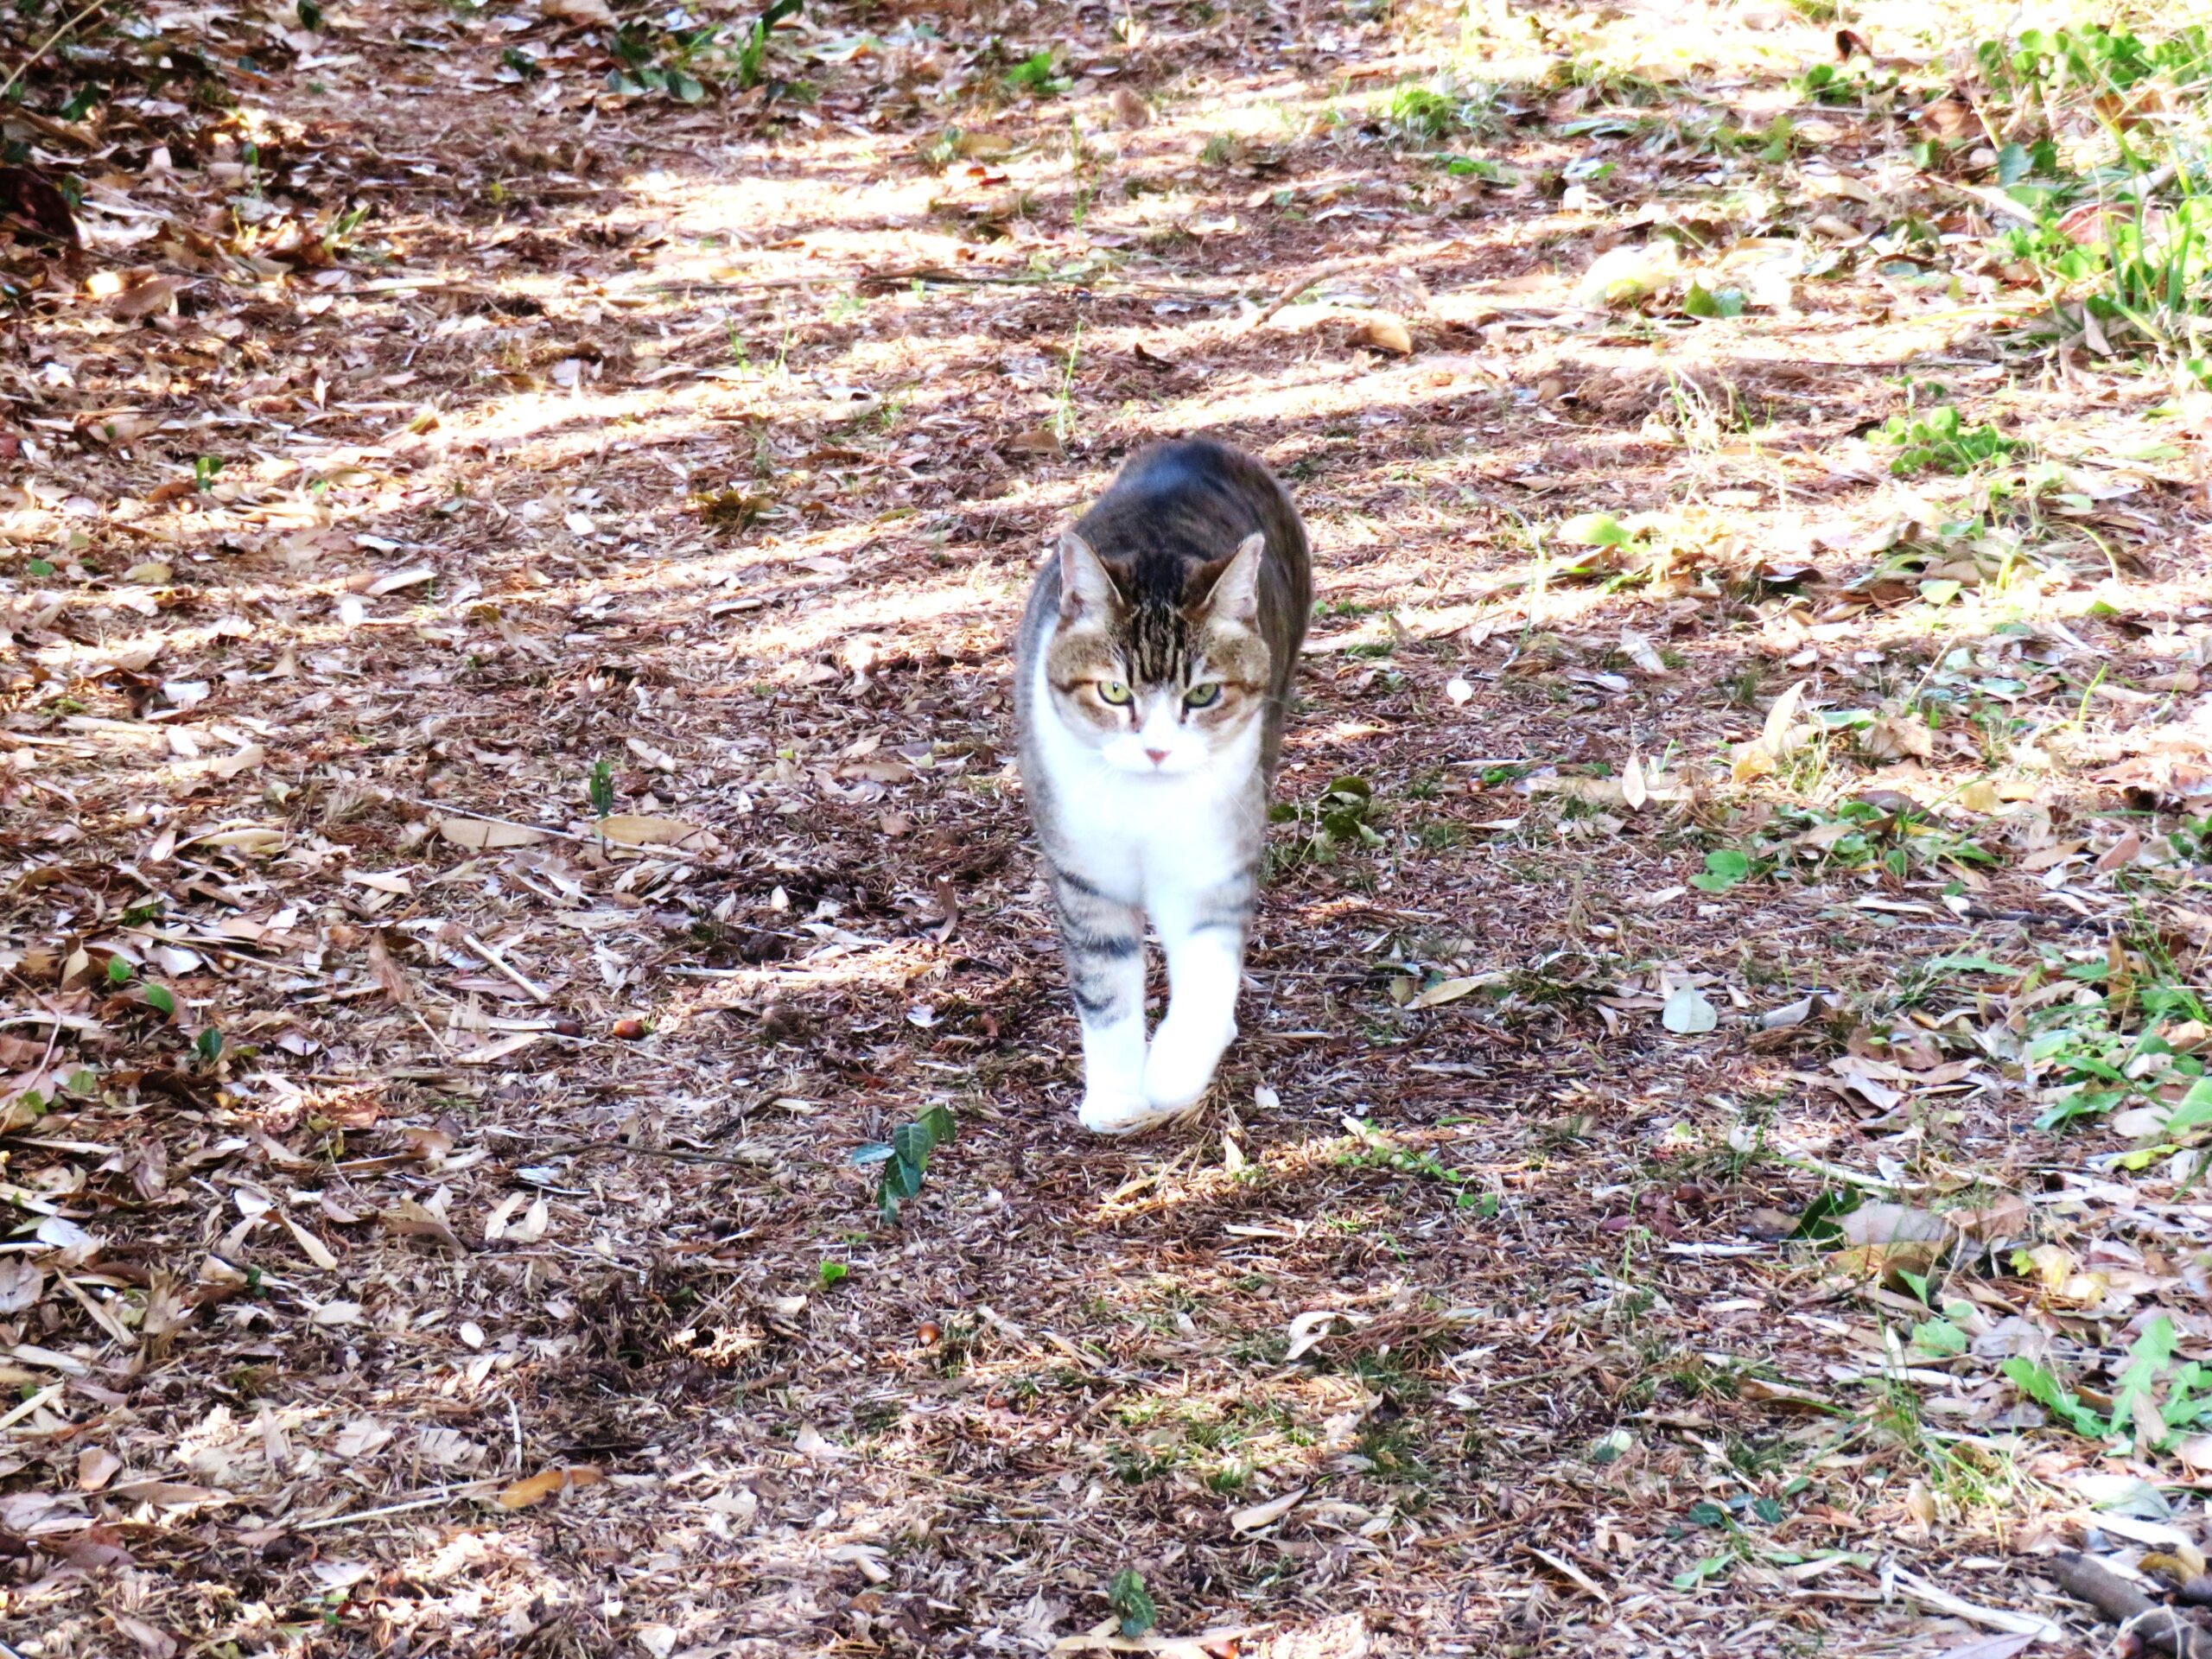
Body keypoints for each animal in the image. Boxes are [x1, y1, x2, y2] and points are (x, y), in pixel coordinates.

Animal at [1017, 442, 1309, 1141]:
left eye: (1202, 694)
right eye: (1113, 691)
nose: (1155, 749)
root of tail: (1199, 445)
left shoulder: (1214, 858)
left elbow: (1207, 970)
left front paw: (1175, 1070)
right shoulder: (1085, 873)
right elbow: (1104, 986)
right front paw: (1116, 1095)